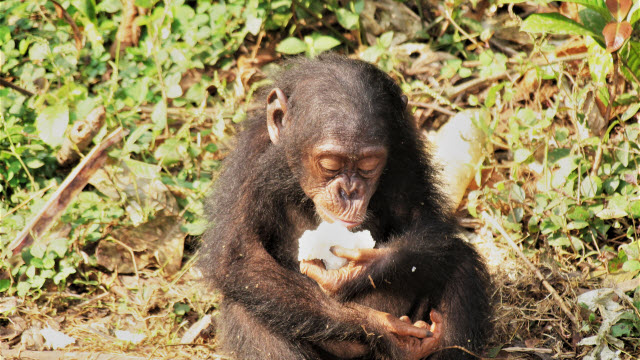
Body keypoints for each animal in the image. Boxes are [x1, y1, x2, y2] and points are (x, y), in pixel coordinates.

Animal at [200, 54, 490, 360]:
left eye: (368, 165)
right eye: (330, 165)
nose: (349, 192)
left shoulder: (405, 153)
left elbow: (425, 222)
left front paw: (362, 268)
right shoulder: (250, 161)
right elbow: (241, 257)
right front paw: (380, 326)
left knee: (459, 262)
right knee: (248, 310)